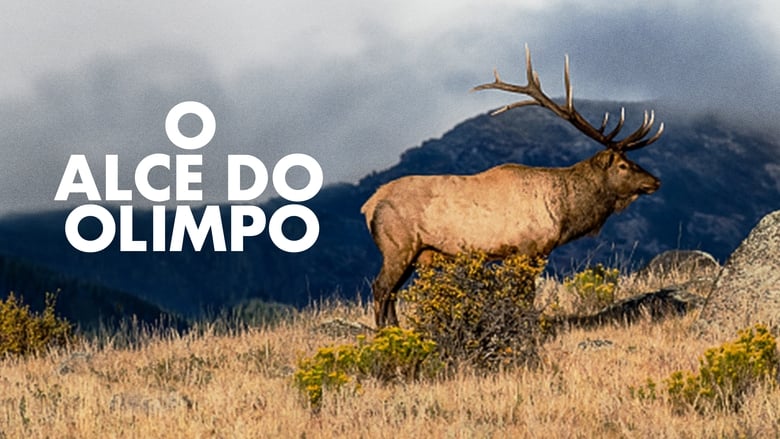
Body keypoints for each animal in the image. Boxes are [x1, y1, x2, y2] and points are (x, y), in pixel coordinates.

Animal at [362, 45, 664, 327]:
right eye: (623, 165)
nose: (656, 181)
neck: (563, 214)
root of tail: (369, 205)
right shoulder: (528, 248)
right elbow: (524, 296)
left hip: (413, 252)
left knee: (391, 293)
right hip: (398, 245)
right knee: (381, 288)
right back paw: (383, 333)